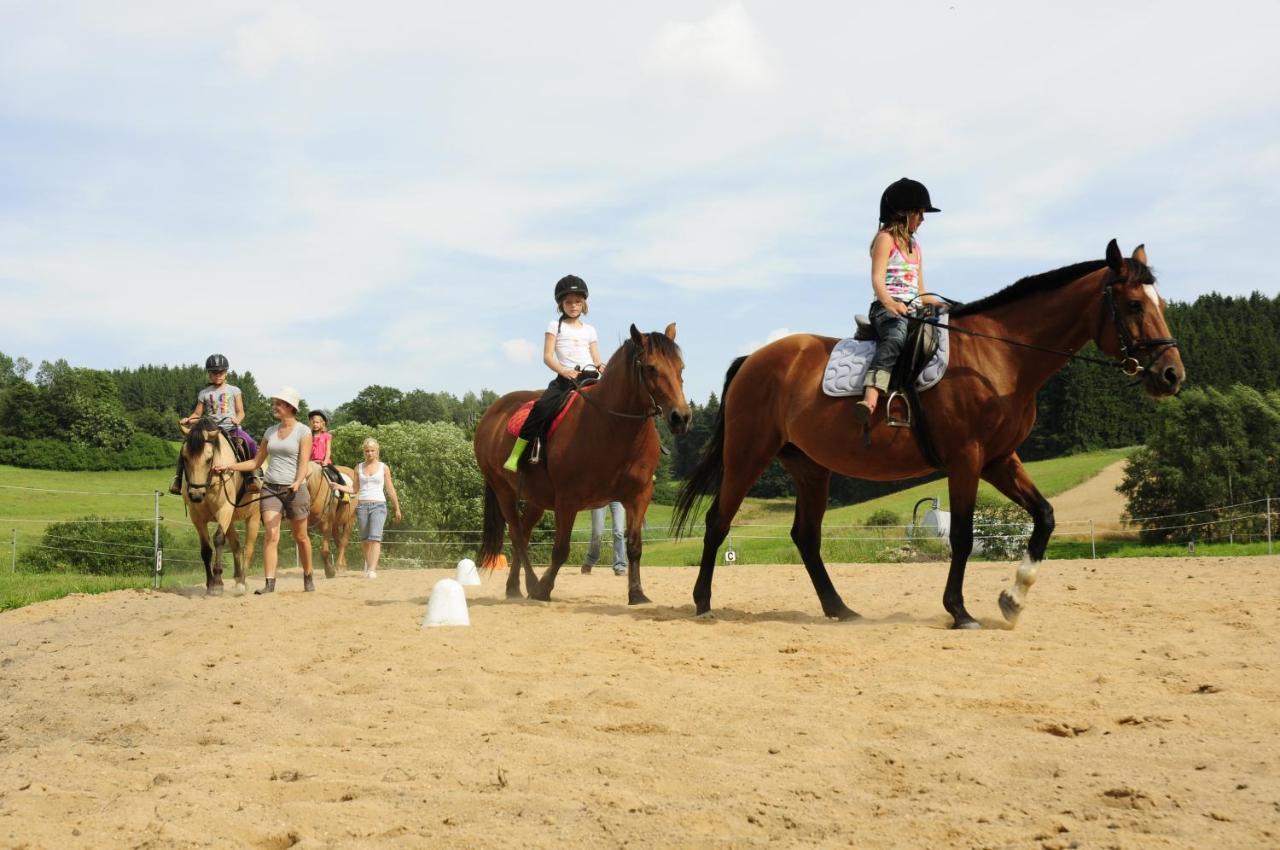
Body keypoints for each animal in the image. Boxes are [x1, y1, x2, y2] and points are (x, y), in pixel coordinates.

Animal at [179, 414, 261, 593]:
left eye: (209, 459)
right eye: (184, 457)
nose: (196, 494)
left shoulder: (224, 510)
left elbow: (218, 540)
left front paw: (217, 583)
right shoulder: (197, 518)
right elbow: (206, 549)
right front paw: (210, 583)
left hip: (253, 516)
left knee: (249, 548)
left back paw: (242, 582)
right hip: (231, 520)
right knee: (236, 546)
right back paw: (237, 579)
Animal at [476, 323, 691, 604]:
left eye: (680, 367)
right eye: (651, 367)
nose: (681, 417)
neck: (611, 425)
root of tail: (491, 414)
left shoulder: (639, 495)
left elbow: (634, 547)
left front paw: (637, 593)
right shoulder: (567, 498)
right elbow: (561, 550)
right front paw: (544, 589)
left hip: (536, 498)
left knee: (523, 532)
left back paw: (514, 588)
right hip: (503, 491)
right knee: (518, 535)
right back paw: (531, 585)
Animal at [675, 241, 1182, 627]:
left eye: (1160, 304)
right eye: (1134, 304)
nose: (1172, 375)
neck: (999, 358)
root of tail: (754, 359)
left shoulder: (1000, 459)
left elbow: (1045, 516)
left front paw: (1013, 599)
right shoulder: (967, 459)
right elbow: (962, 535)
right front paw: (960, 611)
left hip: (811, 468)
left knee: (806, 536)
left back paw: (840, 609)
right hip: (747, 456)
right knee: (718, 522)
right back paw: (703, 603)